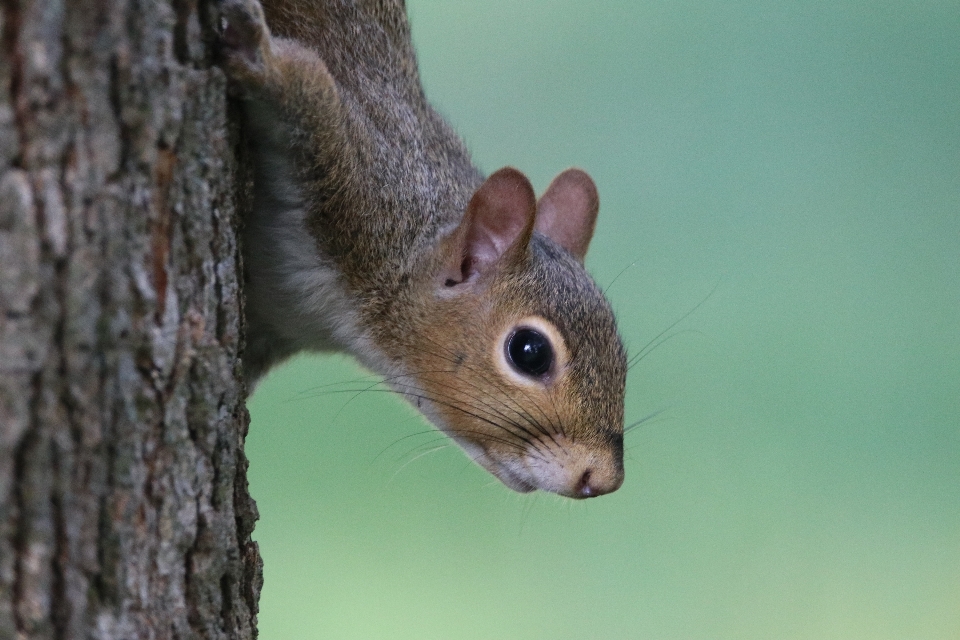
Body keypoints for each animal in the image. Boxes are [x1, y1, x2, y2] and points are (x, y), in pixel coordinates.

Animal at [218, 0, 628, 500]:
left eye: (621, 351)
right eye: (529, 352)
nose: (603, 479)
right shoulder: (360, 179)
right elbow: (307, 81)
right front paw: (256, 52)